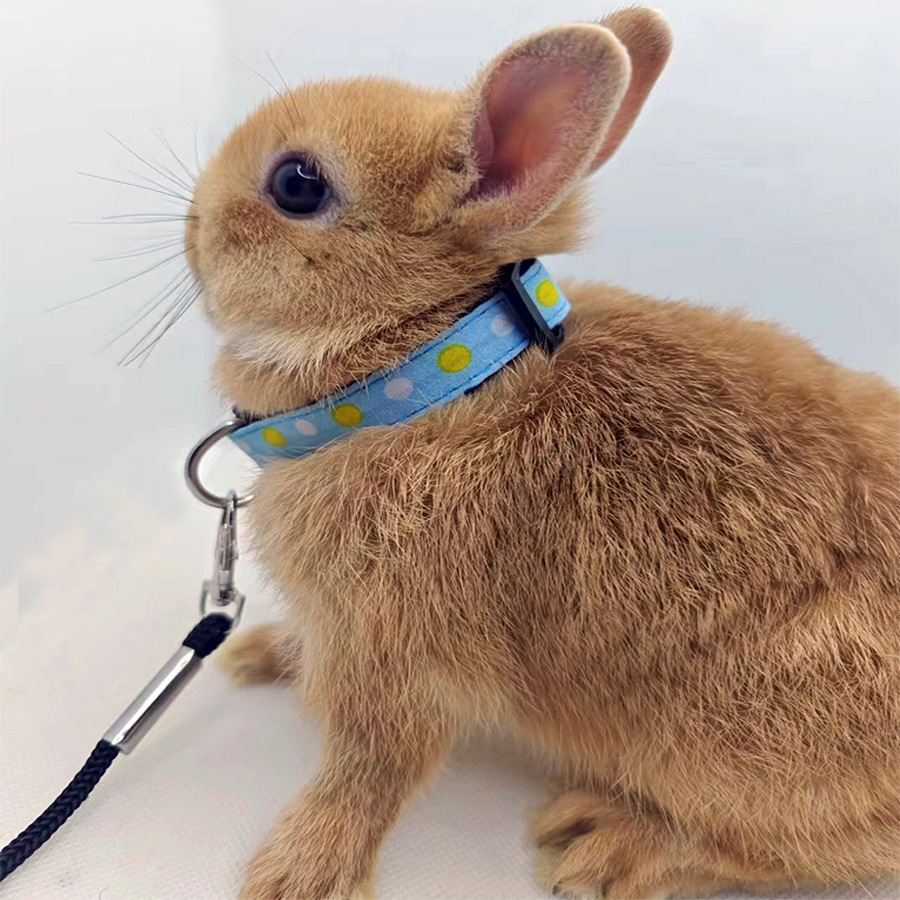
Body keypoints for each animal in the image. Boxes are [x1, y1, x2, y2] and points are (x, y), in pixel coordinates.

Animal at [188, 7, 900, 899]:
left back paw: (609, 843)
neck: (429, 377)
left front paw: (297, 874)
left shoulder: (393, 658)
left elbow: (368, 771)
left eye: (296, 184)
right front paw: (262, 653)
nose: (191, 224)